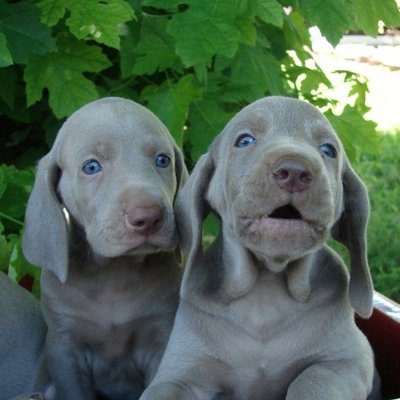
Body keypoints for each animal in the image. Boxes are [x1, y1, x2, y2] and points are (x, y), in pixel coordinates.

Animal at [22, 97, 188, 400]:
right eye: (91, 167)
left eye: (163, 160)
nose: (148, 216)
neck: (114, 274)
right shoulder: (64, 349)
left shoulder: (161, 338)